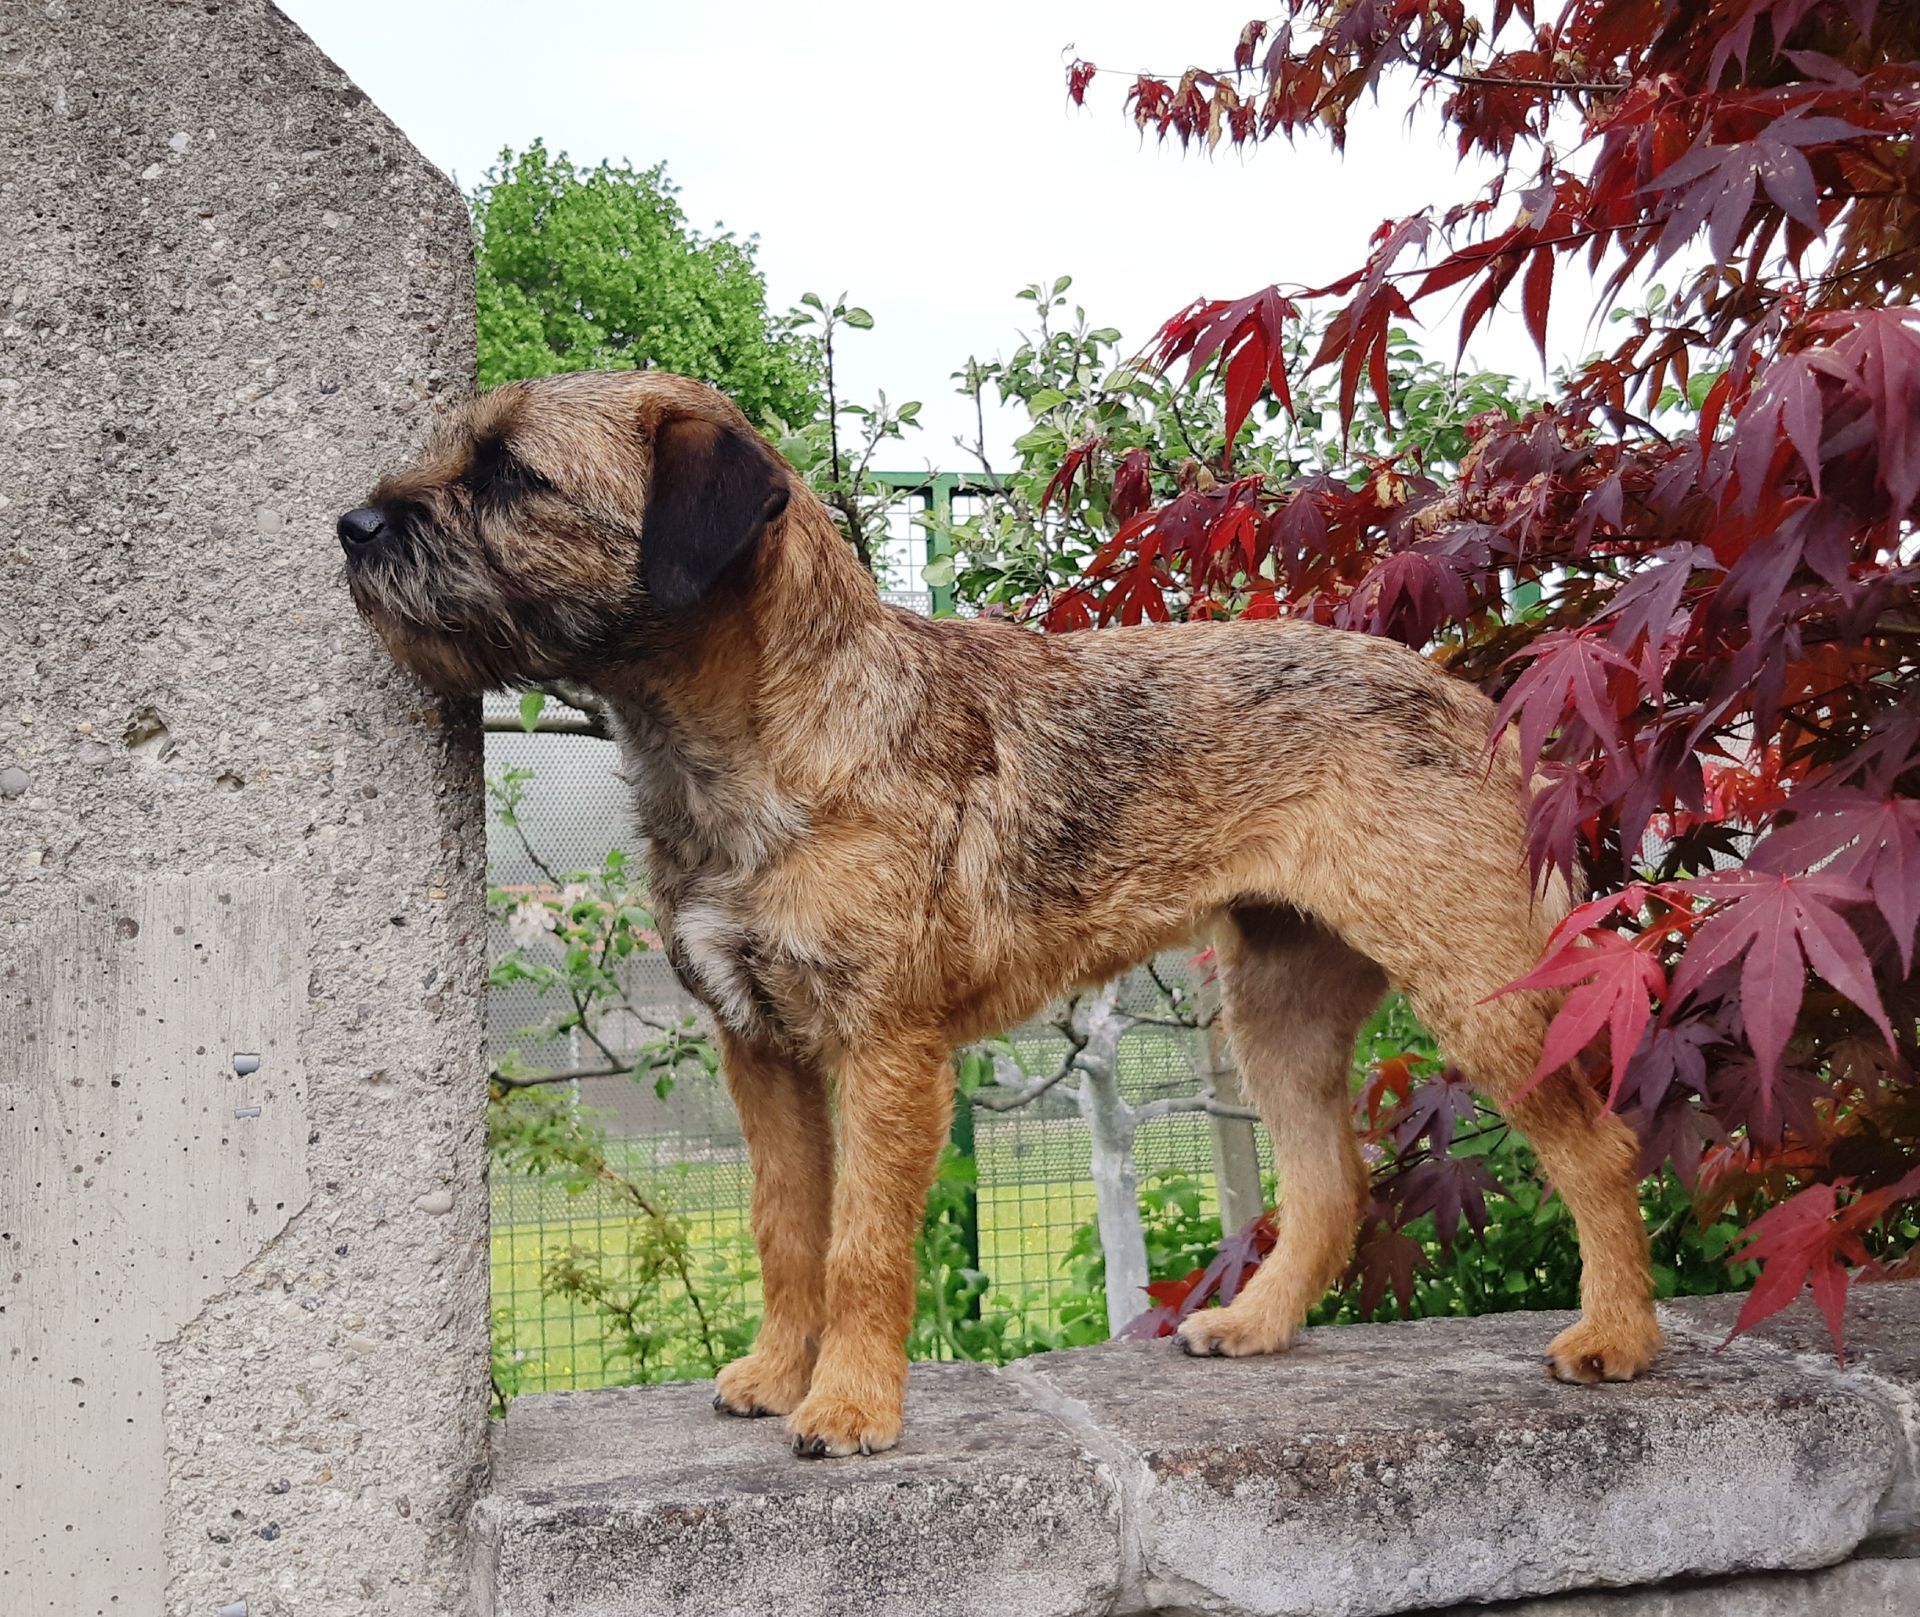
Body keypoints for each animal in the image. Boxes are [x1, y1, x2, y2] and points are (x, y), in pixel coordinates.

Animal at [339, 369, 1661, 1458]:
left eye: (512, 474)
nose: (352, 528)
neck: (769, 740)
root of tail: (1476, 699)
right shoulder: (761, 1051)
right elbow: (786, 1230)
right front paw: (776, 1373)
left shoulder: (886, 1056)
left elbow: (864, 1245)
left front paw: (849, 1406)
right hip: (1278, 1008)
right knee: (1329, 1181)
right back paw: (1257, 1323)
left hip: (1482, 990)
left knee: (1599, 1148)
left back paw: (1619, 1339)